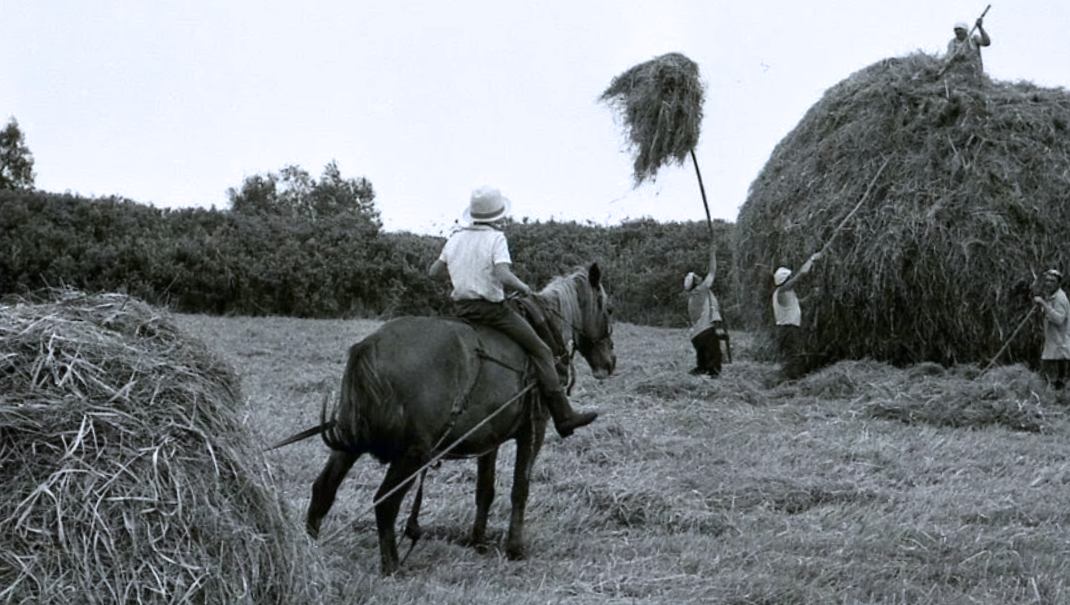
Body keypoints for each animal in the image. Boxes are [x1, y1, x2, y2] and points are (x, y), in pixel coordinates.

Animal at [306, 262, 616, 573]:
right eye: (608, 309)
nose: (609, 363)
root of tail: (370, 346)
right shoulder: (533, 429)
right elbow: (520, 489)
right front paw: (515, 548)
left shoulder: (490, 438)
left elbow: (485, 490)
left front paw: (477, 541)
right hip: (412, 455)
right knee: (385, 504)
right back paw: (392, 566)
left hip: (349, 442)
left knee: (323, 489)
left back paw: (311, 553)